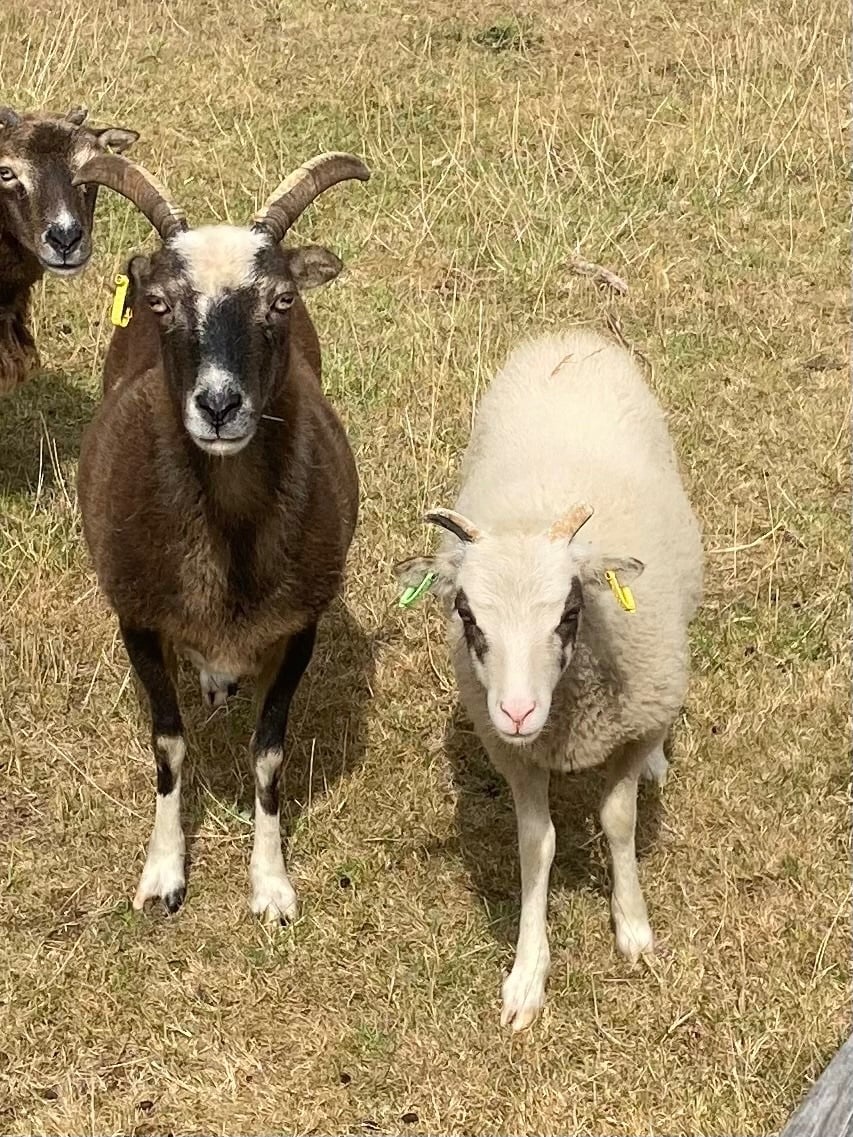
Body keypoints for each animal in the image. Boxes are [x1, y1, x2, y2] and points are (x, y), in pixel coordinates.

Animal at [73, 150, 368, 921]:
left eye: (281, 301)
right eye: (161, 303)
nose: (218, 404)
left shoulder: (300, 626)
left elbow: (268, 755)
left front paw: (270, 885)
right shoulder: (138, 617)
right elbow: (168, 746)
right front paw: (163, 874)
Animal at [395, 329, 703, 1031]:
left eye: (568, 612)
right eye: (465, 614)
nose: (515, 711)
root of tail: (570, 335)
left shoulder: (633, 724)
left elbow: (617, 819)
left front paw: (632, 927)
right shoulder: (514, 755)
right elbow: (536, 845)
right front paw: (527, 975)